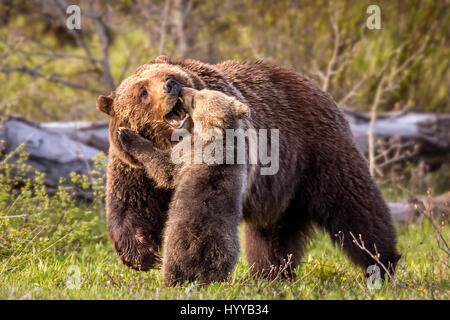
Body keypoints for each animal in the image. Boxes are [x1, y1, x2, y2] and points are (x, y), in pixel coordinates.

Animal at [96, 55, 400, 284]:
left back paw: (382, 262)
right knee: (272, 235)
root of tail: (314, 84)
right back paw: (272, 273)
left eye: (172, 75)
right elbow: (131, 204)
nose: (171, 85)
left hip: (318, 152)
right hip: (281, 189)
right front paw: (143, 255)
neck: (167, 141)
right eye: (143, 92)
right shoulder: (130, 169)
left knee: (354, 205)